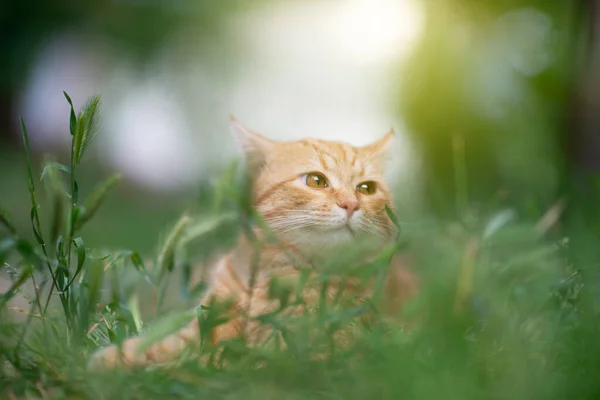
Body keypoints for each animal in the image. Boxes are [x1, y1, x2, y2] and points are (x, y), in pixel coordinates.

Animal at [89, 117, 418, 370]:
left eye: (366, 188)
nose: (351, 204)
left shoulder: (307, 354)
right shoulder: (202, 326)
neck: (268, 277)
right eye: (316, 181)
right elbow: (156, 345)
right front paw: (110, 360)